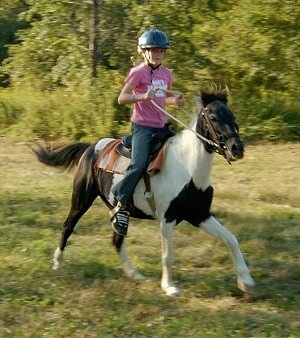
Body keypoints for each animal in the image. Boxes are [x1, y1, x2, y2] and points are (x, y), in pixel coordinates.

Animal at [31, 88, 255, 296]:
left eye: (232, 115)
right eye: (213, 117)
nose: (236, 148)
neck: (188, 169)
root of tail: (91, 147)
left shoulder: (200, 215)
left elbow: (231, 239)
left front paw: (246, 282)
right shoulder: (168, 218)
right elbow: (168, 256)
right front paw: (169, 287)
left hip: (119, 210)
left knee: (116, 240)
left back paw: (134, 274)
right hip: (81, 199)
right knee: (67, 226)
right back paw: (58, 263)